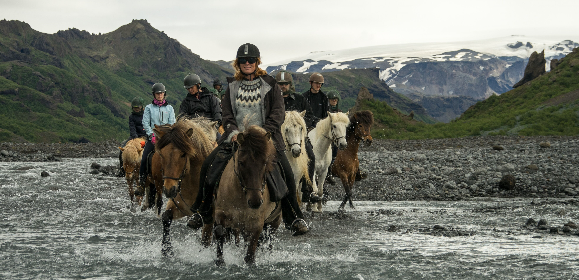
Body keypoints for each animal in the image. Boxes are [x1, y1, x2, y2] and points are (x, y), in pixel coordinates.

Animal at [154, 117, 218, 256]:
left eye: (183, 154)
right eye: (161, 154)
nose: (169, 189)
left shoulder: (210, 217)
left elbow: (206, 240)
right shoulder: (182, 207)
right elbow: (166, 217)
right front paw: (166, 249)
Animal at [205, 126, 284, 266]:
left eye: (265, 162)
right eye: (241, 162)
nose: (255, 202)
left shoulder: (257, 224)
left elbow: (251, 252)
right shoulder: (221, 213)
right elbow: (219, 231)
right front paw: (220, 261)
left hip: (275, 220)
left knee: (269, 239)